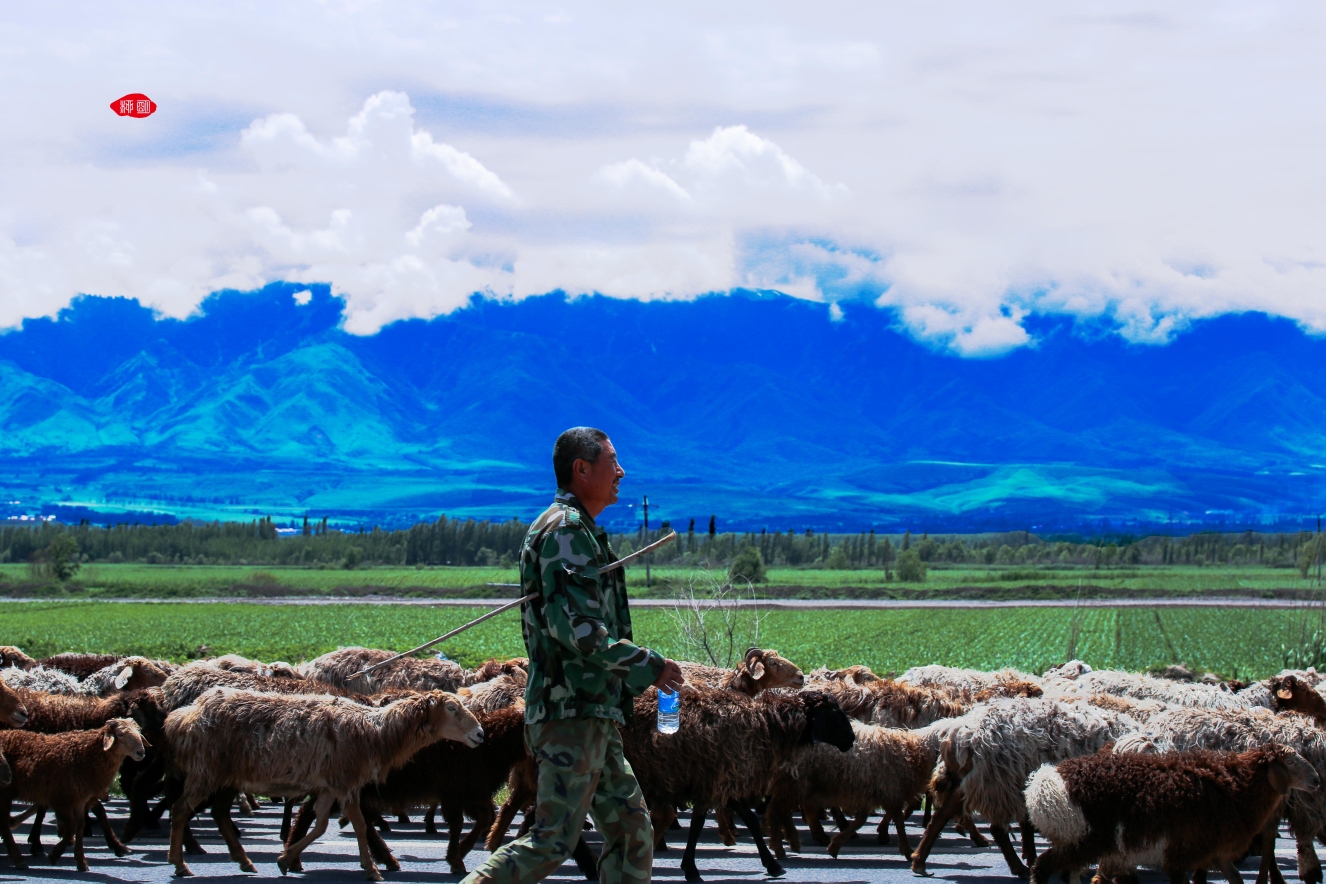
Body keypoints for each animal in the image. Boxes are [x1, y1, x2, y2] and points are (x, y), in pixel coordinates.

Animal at [0, 720, 146, 874]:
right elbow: (72, 827)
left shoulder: (79, 800)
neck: (84, 756)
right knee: (4, 822)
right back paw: (19, 859)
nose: (141, 752)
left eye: (139, 732)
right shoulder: (62, 799)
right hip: (5, 792)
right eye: (120, 734)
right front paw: (55, 854)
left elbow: (80, 826)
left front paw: (81, 861)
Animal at [160, 683, 482, 880]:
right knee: (180, 810)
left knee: (218, 813)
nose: (479, 734)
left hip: (226, 774)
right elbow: (359, 825)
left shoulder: (329, 785)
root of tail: (185, 716)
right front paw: (372, 869)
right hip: (206, 770)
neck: (376, 733)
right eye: (451, 708)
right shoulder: (346, 781)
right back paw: (179, 863)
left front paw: (286, 858)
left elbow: (321, 826)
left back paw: (244, 861)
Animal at [617, 683, 848, 884]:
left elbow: (750, 820)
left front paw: (773, 865)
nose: (851, 740)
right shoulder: (715, 781)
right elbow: (698, 824)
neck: (765, 726)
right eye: (834, 711)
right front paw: (691, 870)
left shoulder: (728, 781)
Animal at [912, 699, 1140, 880]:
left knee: (942, 815)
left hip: (977, 780)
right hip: (998, 782)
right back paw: (1019, 868)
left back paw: (919, 861)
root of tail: (961, 733)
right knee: (996, 829)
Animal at [1023, 747, 1315, 884]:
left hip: (1078, 842)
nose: (1317, 780)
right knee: (1043, 866)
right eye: (1290, 762)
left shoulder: (1213, 850)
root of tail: (1044, 784)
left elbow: (1236, 878)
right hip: (1084, 840)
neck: (1236, 787)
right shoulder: (1181, 851)